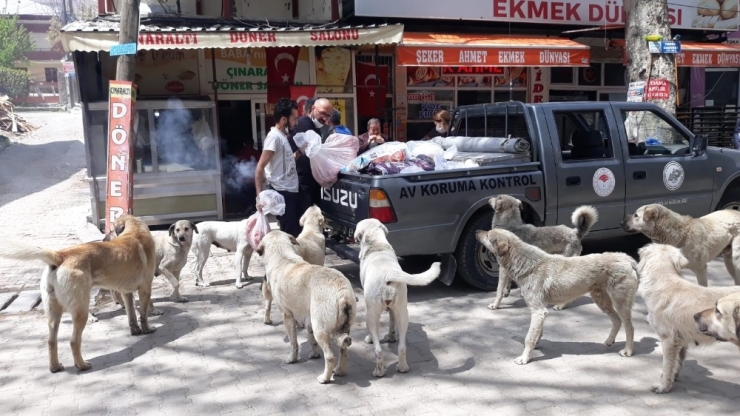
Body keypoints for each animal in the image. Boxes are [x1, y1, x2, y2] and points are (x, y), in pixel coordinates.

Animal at [0, 216, 158, 372]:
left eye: (111, 230)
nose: (104, 239)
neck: (135, 231)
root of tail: (61, 255)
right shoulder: (145, 289)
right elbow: (143, 314)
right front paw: (147, 329)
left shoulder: (126, 293)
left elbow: (132, 315)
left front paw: (135, 330)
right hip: (81, 311)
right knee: (74, 341)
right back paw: (82, 365)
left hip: (53, 314)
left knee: (51, 341)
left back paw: (55, 367)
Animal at [258, 231, 356, 384]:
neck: (282, 257)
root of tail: (342, 292)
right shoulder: (309, 320)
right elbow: (311, 340)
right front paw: (314, 354)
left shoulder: (287, 316)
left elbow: (294, 343)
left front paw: (292, 359)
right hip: (340, 328)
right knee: (344, 350)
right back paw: (340, 371)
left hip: (320, 330)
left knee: (330, 357)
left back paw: (325, 378)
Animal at [352, 219, 440, 378]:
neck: (377, 244)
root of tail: (388, 273)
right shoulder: (393, 309)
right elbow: (392, 323)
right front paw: (391, 337)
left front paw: (370, 339)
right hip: (403, 312)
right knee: (402, 347)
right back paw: (403, 367)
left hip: (371, 314)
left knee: (378, 349)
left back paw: (379, 371)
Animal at [476, 229, 640, 366]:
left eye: (488, 235)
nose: (477, 231)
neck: (528, 264)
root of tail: (626, 258)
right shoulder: (541, 312)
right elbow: (538, 332)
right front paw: (536, 345)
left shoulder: (538, 311)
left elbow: (529, 337)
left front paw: (524, 357)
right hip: (601, 301)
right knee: (616, 321)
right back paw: (609, 341)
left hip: (620, 303)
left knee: (629, 326)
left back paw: (628, 351)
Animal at [632, 244, 740, 394]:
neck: (665, 281)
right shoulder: (681, 340)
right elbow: (677, 362)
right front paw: (673, 378)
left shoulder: (668, 340)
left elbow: (667, 366)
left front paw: (663, 386)